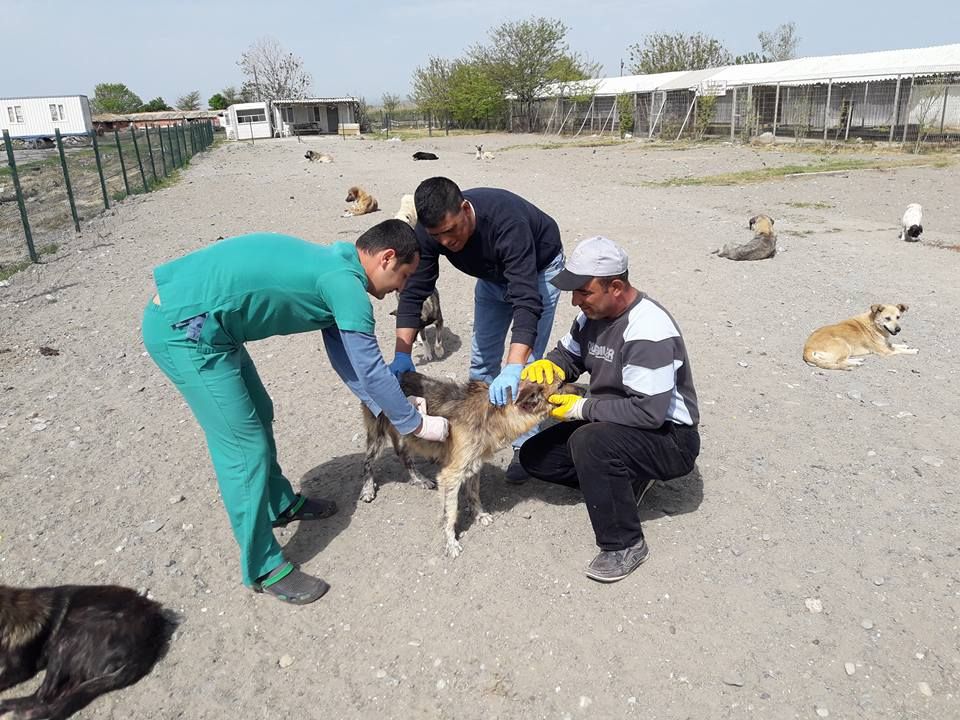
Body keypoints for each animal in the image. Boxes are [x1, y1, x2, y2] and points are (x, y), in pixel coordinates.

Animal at [362, 372, 568, 556]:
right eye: (561, 385)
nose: (578, 386)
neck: (493, 413)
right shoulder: (450, 475)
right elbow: (450, 513)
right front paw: (451, 542)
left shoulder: (474, 465)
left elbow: (473, 493)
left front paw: (479, 515)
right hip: (378, 435)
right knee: (368, 462)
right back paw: (368, 489)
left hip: (407, 435)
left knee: (404, 456)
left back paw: (419, 479)